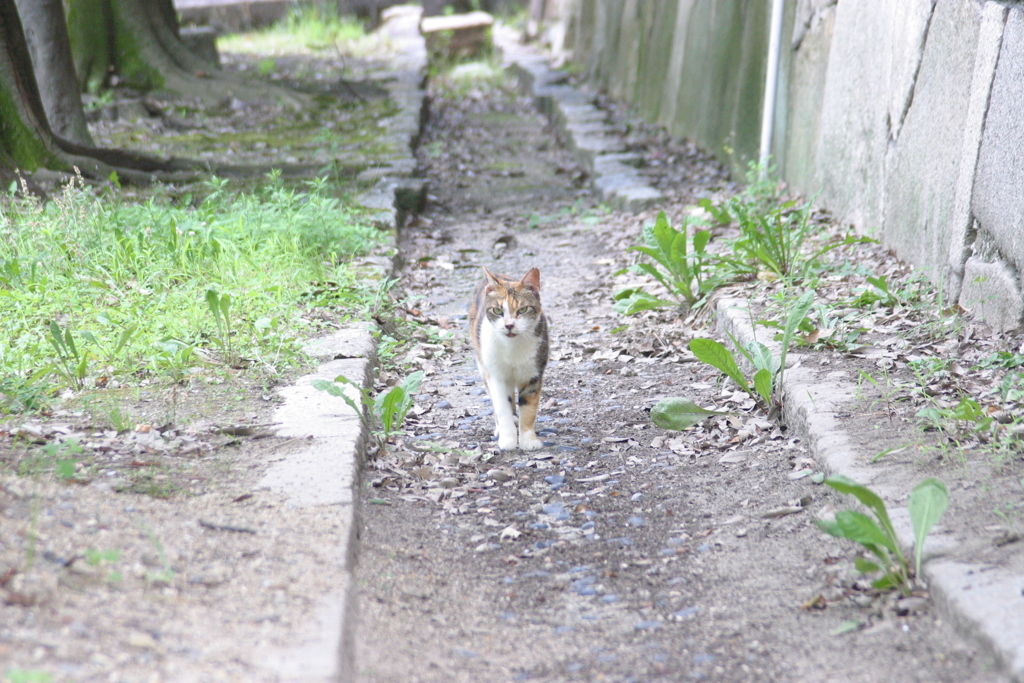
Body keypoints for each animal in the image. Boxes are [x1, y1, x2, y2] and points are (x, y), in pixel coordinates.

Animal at [471, 264, 552, 450]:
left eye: (523, 309)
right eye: (498, 310)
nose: (509, 325)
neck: (512, 348)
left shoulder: (533, 374)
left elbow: (529, 409)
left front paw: (528, 440)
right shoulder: (495, 375)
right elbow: (501, 406)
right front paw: (507, 439)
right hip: (482, 362)